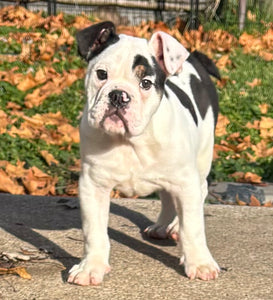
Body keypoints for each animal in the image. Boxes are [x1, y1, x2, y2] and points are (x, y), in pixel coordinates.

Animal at [67, 21, 220, 286]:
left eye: (146, 83)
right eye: (101, 74)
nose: (118, 95)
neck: (129, 141)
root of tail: (194, 58)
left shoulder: (185, 181)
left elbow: (193, 227)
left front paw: (200, 263)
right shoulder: (93, 185)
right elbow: (93, 231)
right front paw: (90, 267)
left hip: (200, 161)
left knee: (197, 194)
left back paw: (175, 227)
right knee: (168, 196)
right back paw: (162, 226)